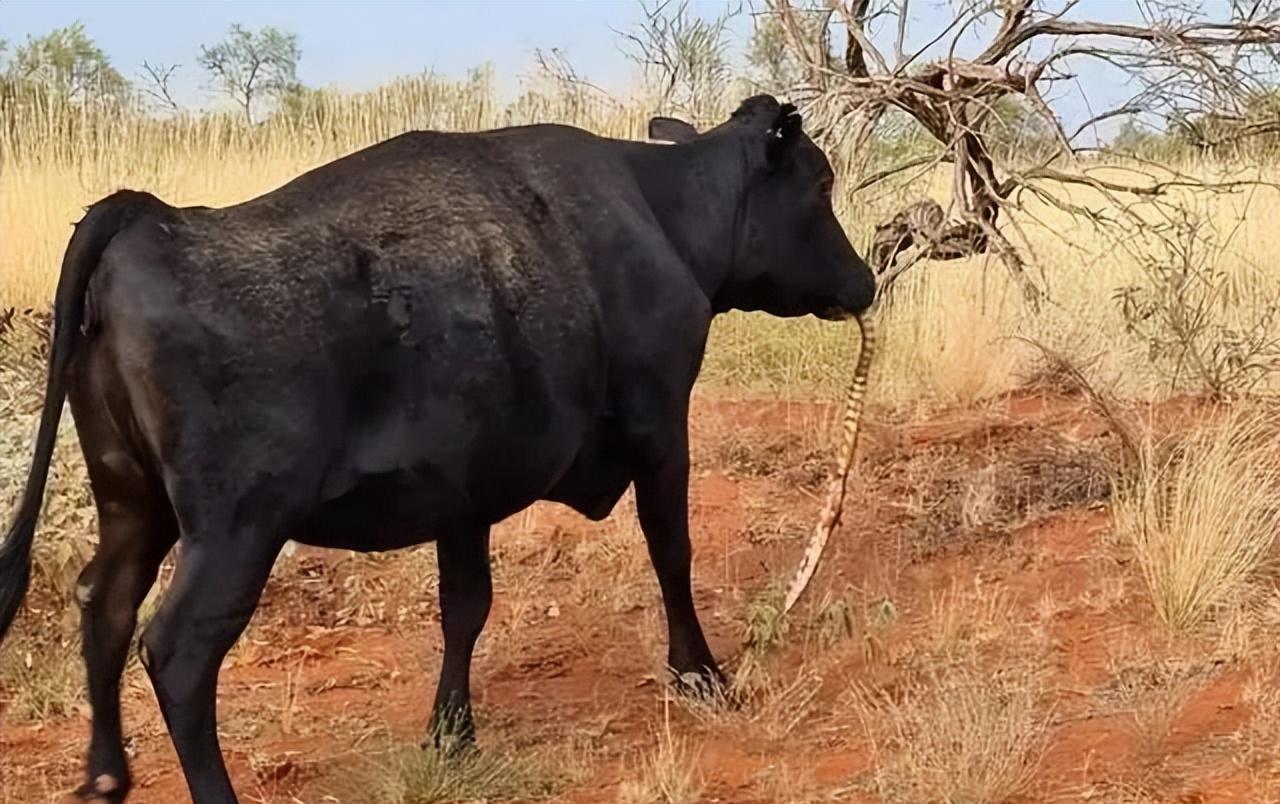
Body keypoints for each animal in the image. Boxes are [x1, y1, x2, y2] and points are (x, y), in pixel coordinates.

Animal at [0, 96, 870, 803]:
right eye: (822, 184)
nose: (863, 282)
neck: (662, 217)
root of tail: (148, 216)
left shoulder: (465, 490)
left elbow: (465, 607)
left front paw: (452, 732)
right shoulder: (661, 428)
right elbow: (671, 552)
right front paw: (702, 674)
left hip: (133, 501)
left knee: (103, 602)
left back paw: (106, 776)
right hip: (235, 529)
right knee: (177, 651)